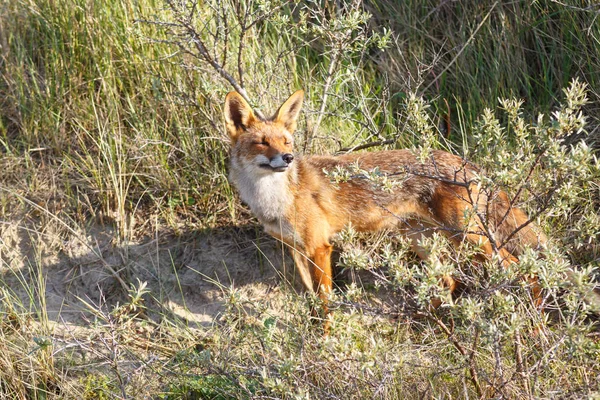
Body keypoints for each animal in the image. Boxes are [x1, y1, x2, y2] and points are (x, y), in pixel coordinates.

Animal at [224, 90, 548, 322]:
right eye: (263, 143)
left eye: (286, 142)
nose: (288, 158)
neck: (275, 199)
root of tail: (465, 162)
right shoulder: (296, 248)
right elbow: (312, 299)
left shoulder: (319, 248)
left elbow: (325, 303)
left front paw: (324, 340)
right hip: (420, 238)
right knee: (448, 280)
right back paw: (425, 320)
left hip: (468, 237)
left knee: (524, 268)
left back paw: (535, 320)